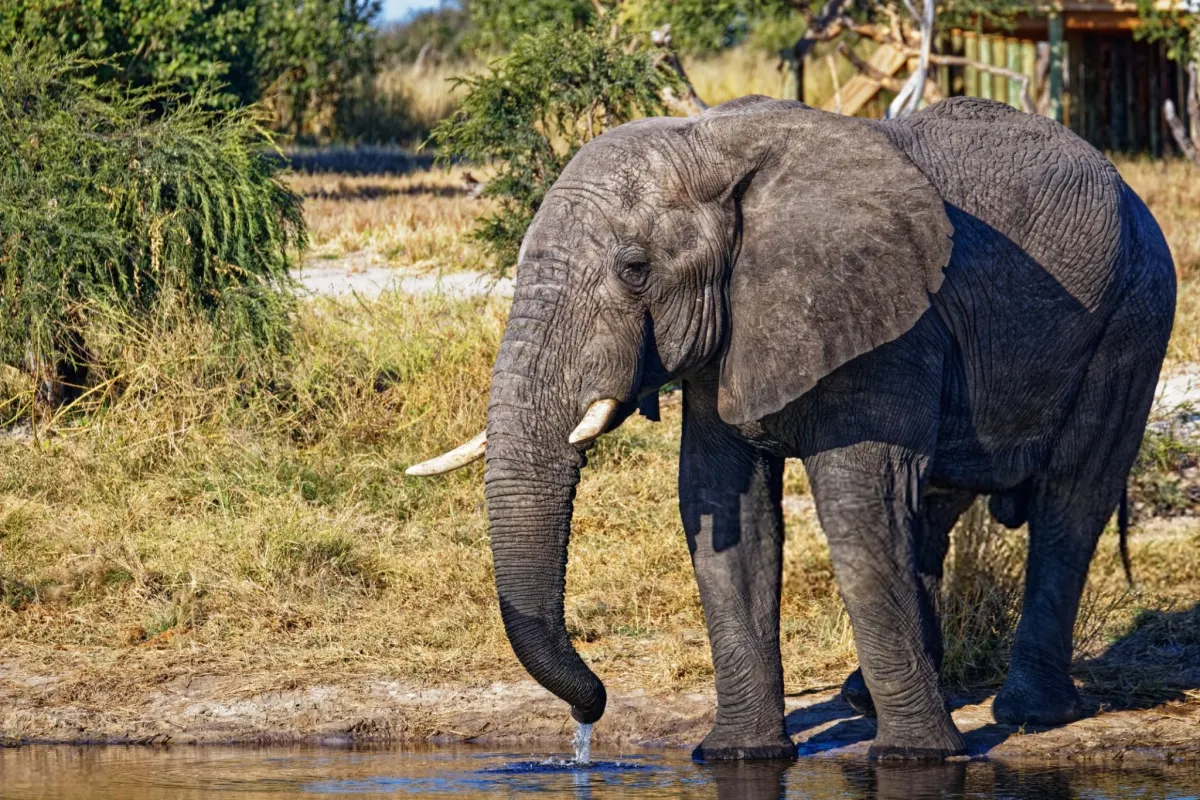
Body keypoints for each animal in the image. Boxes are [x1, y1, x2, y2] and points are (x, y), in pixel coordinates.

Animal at [408, 96, 1176, 760]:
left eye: (634, 270)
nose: (590, 709)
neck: (714, 149)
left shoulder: (881, 317)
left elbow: (857, 509)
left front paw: (918, 758)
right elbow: (727, 512)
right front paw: (736, 754)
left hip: (1135, 315)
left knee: (1071, 501)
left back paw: (1029, 714)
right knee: (934, 507)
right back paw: (865, 698)